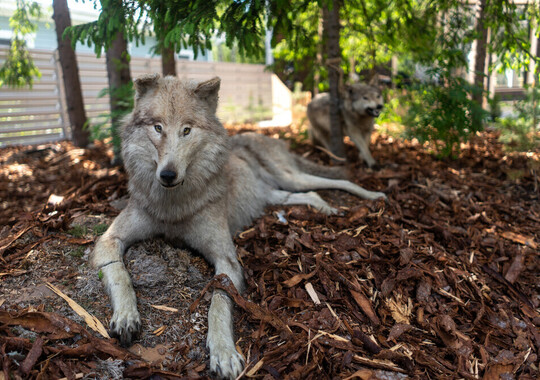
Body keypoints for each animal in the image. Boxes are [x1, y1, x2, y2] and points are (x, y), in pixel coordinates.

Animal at [92, 73, 388, 378]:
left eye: (186, 130)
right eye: (158, 127)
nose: (168, 175)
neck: (174, 206)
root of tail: (264, 135)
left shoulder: (227, 260)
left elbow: (218, 302)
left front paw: (224, 352)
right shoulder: (108, 239)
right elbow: (118, 272)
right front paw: (125, 316)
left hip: (292, 179)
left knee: (339, 181)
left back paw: (372, 196)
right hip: (275, 195)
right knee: (311, 195)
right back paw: (327, 208)